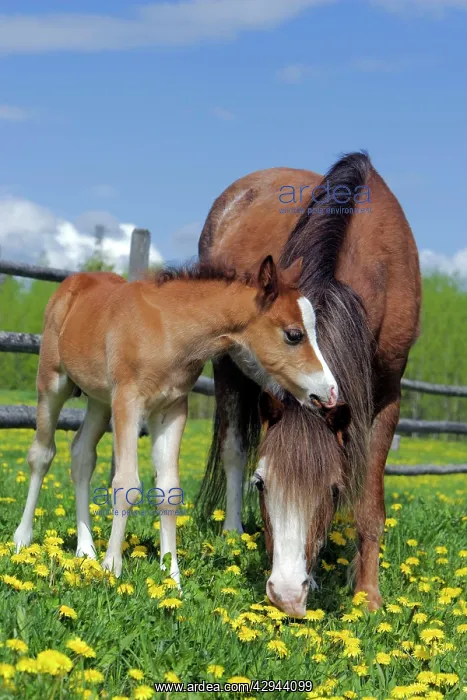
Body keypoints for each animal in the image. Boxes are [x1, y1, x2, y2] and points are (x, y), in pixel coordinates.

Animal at [13, 257, 339, 584]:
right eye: (294, 334)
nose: (330, 392)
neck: (167, 331)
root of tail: (74, 281)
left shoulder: (172, 409)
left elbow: (169, 490)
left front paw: (172, 576)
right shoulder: (128, 402)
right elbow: (126, 483)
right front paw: (112, 568)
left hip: (99, 400)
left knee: (82, 454)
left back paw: (86, 549)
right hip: (53, 382)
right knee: (42, 453)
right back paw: (22, 539)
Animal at [198, 152, 421, 616]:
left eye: (334, 491)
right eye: (261, 484)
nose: (286, 595)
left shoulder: (388, 393)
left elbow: (369, 503)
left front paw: (367, 596)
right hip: (226, 366)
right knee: (233, 448)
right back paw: (231, 532)